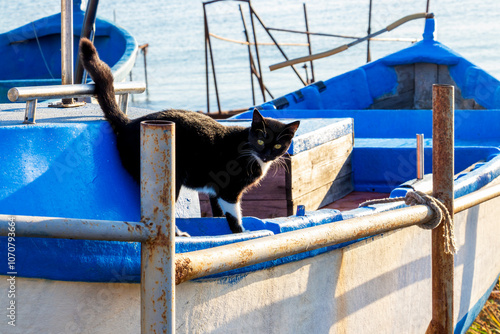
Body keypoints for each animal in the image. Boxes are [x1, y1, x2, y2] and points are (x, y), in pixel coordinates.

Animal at [79, 37, 298, 236]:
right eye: (260, 140)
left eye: (278, 146)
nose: (266, 154)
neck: (250, 152)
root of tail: (128, 124)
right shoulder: (229, 190)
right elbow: (234, 216)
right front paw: (241, 233)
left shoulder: (216, 190)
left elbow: (218, 212)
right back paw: (178, 234)